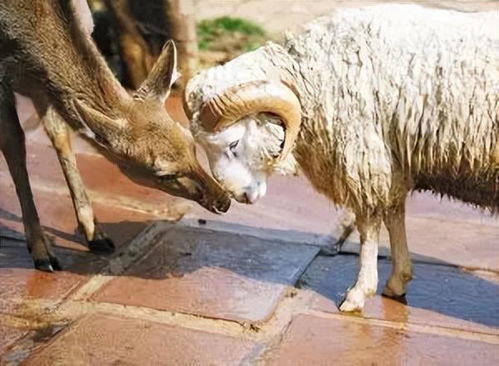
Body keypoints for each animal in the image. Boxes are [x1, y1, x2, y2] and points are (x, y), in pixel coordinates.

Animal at [0, 0, 230, 272]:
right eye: (163, 174)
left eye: (191, 144)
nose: (224, 201)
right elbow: (14, 144)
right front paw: (42, 252)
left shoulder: (43, 85)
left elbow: (60, 135)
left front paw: (95, 233)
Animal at [186, 4, 499, 310]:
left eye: (233, 142)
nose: (237, 196)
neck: (313, 75)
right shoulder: (390, 159)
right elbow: (394, 214)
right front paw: (398, 280)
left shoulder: (364, 157)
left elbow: (368, 227)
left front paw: (359, 293)